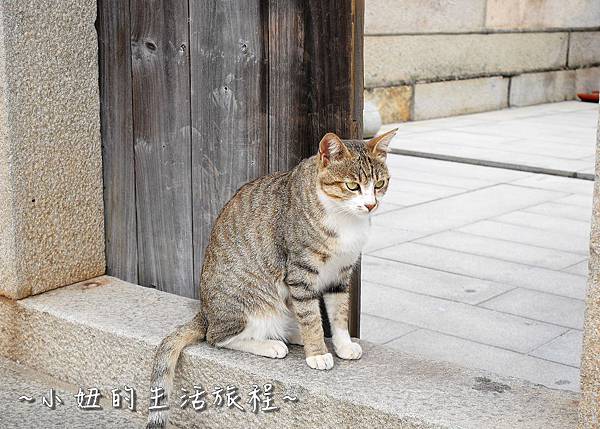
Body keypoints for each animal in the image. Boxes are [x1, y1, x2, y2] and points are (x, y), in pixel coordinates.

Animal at [147, 129, 396, 426]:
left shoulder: (341, 274)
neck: (343, 219)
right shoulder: (300, 273)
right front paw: (317, 353)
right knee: (216, 337)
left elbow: (338, 315)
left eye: (380, 183)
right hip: (250, 303)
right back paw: (272, 345)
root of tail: (205, 312)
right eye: (352, 186)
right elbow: (311, 317)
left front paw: (343, 345)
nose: (370, 204)